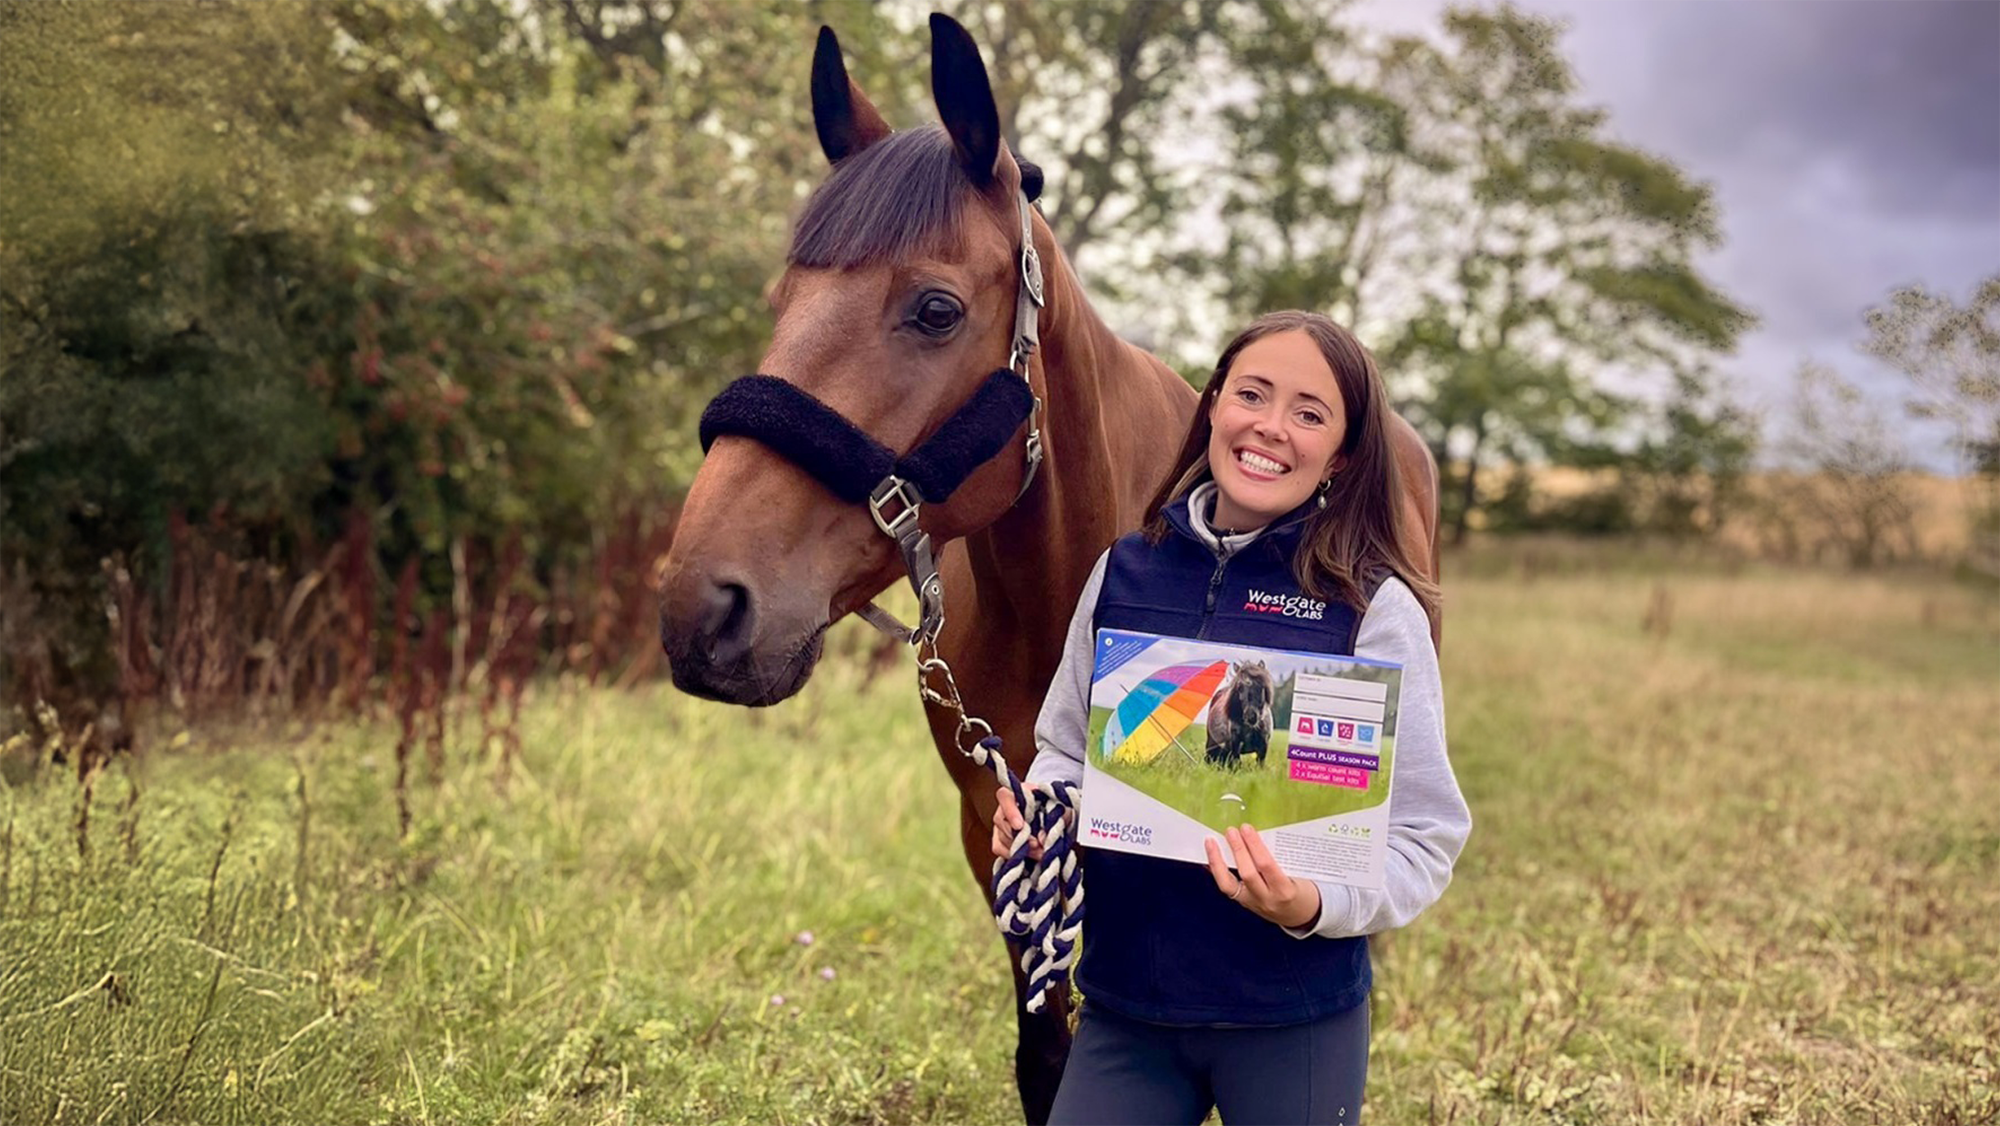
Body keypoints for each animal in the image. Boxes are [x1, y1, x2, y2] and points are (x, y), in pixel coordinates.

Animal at [656, 16, 1442, 1124]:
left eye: (935, 310)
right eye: (783, 299)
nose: (703, 606)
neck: (1054, 593)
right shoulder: (1000, 825)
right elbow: (1045, 1049)